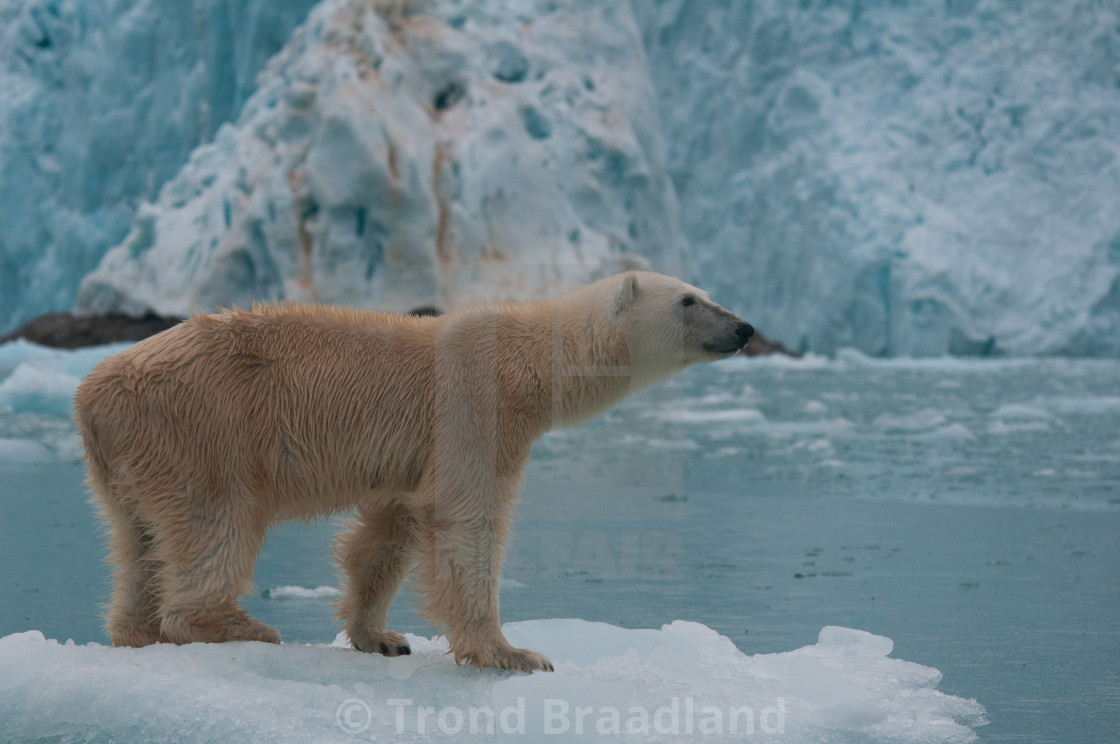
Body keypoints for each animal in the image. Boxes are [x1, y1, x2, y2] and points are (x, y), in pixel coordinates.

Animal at [76, 272, 752, 672]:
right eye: (690, 300)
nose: (745, 327)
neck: (528, 359)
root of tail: (91, 396)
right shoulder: (473, 412)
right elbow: (466, 524)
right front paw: (512, 652)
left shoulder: (411, 457)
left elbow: (387, 533)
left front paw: (381, 636)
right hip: (202, 429)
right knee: (214, 524)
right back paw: (235, 625)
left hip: (129, 459)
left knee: (137, 539)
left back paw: (137, 630)